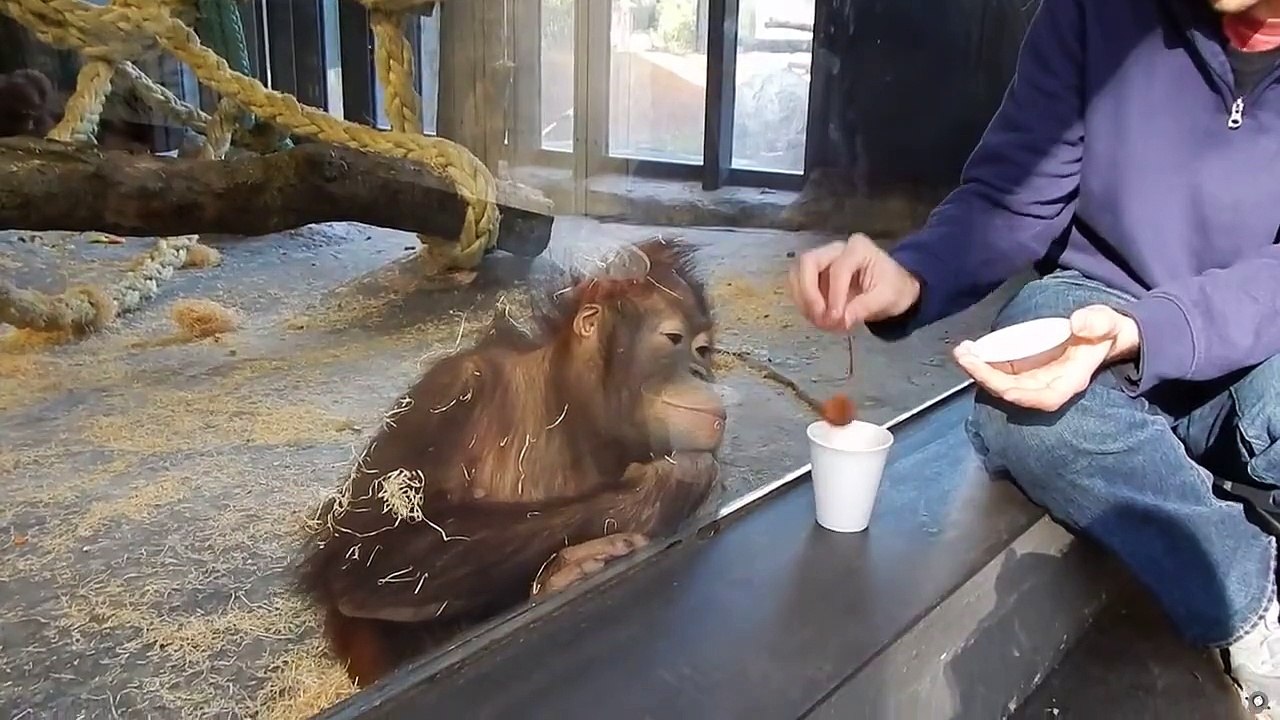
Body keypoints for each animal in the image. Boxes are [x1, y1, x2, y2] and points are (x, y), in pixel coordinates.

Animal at [296, 237, 727, 687]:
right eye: (674, 338)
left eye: (703, 351)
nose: (700, 372)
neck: (569, 406)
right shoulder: (447, 392)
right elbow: (370, 551)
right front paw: (669, 484)